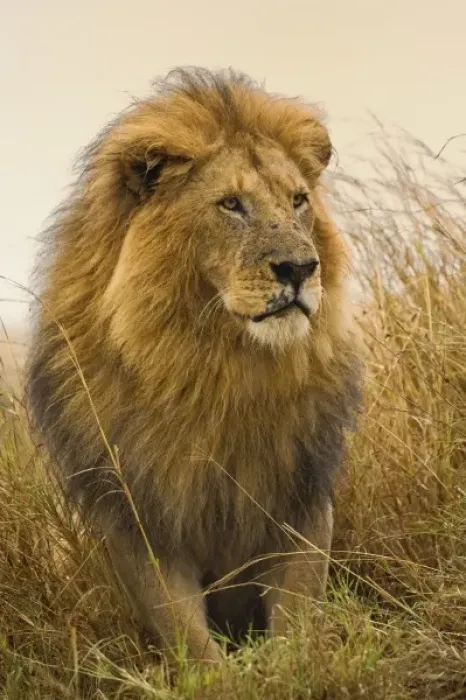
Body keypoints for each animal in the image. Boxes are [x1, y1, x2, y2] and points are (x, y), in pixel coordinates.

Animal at [26, 68, 362, 663]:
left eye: (299, 200)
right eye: (231, 204)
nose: (301, 268)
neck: (215, 367)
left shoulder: (302, 497)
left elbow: (297, 623)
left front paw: (293, 668)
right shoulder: (138, 519)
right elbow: (192, 644)